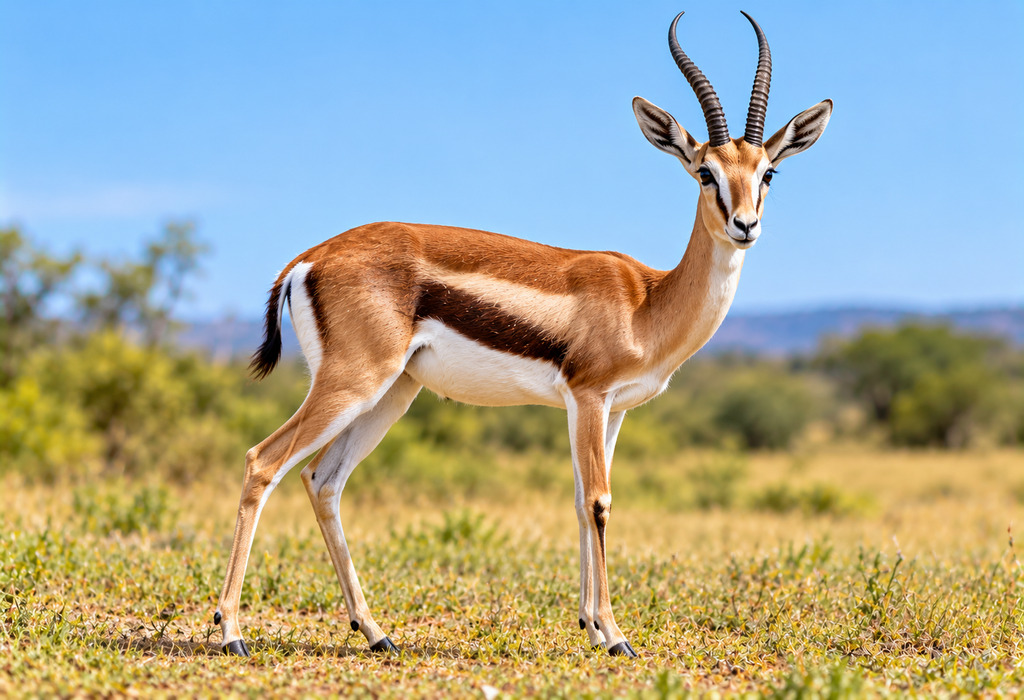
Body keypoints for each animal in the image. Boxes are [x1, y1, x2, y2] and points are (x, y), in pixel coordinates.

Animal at [214, 10, 832, 658]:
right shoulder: (587, 396)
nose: (745, 225)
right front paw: (615, 636)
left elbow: (584, 501)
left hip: (392, 393)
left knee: (323, 480)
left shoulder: (613, 410)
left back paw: (377, 632)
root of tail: (310, 256)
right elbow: (599, 501)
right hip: (352, 383)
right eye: (705, 172)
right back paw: (231, 632)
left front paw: (591, 626)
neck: (646, 301)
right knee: (263, 462)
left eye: (768, 172)